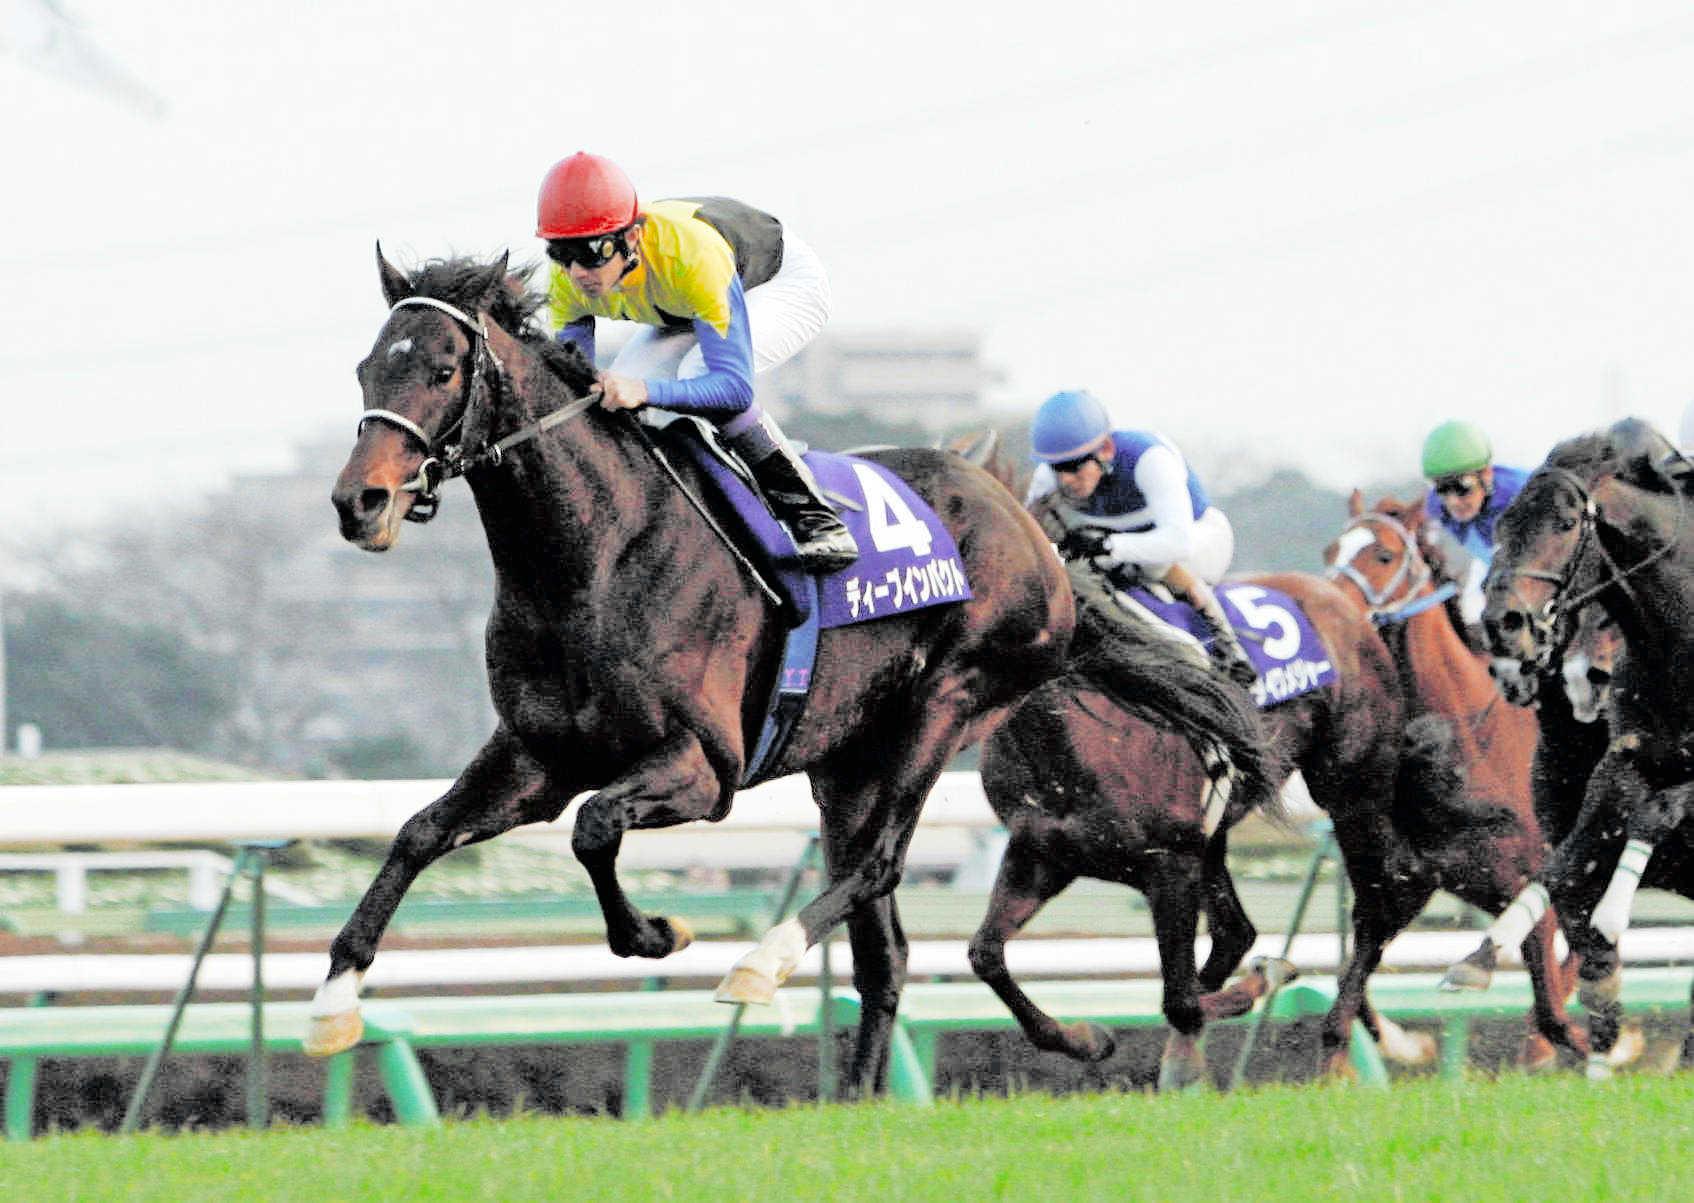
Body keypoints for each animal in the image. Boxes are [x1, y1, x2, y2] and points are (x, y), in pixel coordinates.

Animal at [311, 249, 1273, 1097]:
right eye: (364, 369)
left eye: (442, 369)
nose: (360, 502)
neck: (594, 557)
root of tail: (1026, 525)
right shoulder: (537, 757)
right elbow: (419, 832)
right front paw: (332, 1001)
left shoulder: (703, 767)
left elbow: (592, 828)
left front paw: (658, 932)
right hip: (848, 765)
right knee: (886, 951)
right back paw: (880, 1089)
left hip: (950, 700)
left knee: (880, 865)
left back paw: (764, 960)